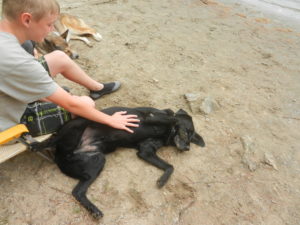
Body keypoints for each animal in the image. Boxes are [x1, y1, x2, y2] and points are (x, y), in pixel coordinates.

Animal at [34, 106, 205, 219]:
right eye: (186, 132)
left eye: (191, 137)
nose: (187, 148)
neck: (167, 134)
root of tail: (60, 156)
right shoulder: (151, 118)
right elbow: (173, 116)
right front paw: (173, 115)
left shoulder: (146, 150)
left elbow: (170, 166)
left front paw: (162, 180)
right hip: (78, 124)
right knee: (54, 138)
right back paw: (37, 145)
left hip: (97, 161)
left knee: (78, 192)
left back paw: (94, 210)